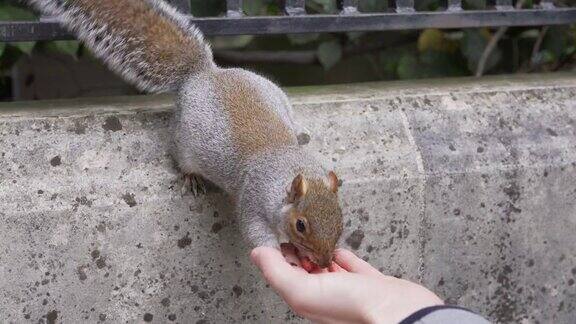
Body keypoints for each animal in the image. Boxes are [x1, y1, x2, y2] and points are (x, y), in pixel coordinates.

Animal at [25, 0, 342, 268]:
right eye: (301, 225)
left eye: (340, 219)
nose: (325, 262)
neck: (288, 167)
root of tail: (204, 73)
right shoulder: (253, 199)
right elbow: (255, 233)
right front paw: (278, 254)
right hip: (183, 142)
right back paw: (191, 177)